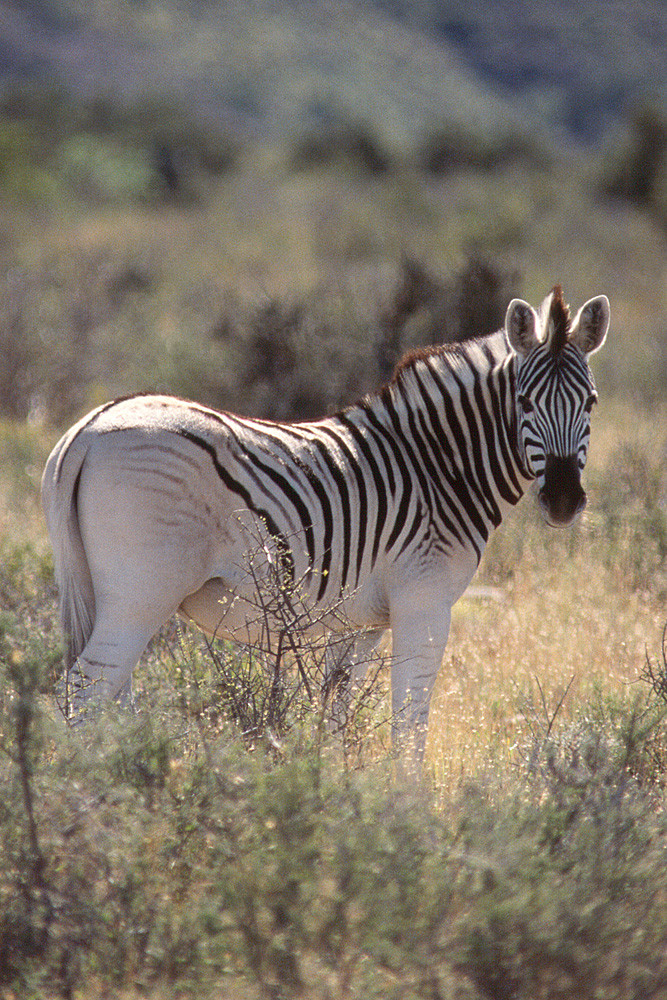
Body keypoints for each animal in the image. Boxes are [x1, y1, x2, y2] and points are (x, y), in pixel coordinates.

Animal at [41, 286, 612, 752]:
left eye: (591, 402)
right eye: (525, 402)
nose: (564, 500)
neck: (437, 468)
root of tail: (89, 428)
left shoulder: (363, 623)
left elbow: (337, 714)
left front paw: (337, 789)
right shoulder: (424, 602)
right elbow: (409, 724)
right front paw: (409, 809)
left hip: (106, 593)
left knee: (108, 700)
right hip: (141, 594)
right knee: (84, 694)